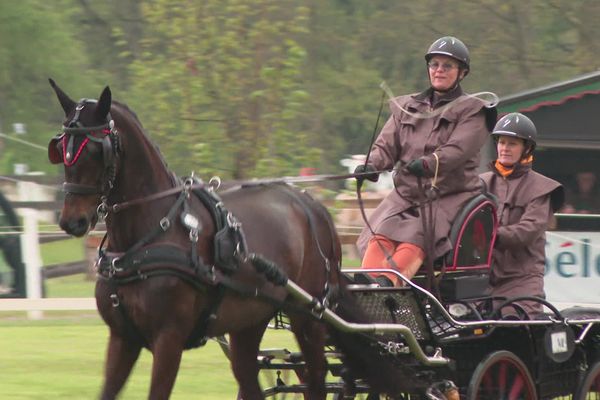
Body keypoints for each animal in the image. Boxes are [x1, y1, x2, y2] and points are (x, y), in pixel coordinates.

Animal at [48, 81, 346, 400]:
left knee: (316, 379)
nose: (72, 221)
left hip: (308, 318)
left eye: (95, 150)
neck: (140, 245)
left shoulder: (169, 339)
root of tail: (311, 204)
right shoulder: (122, 337)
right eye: (61, 149)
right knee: (249, 377)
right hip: (250, 321)